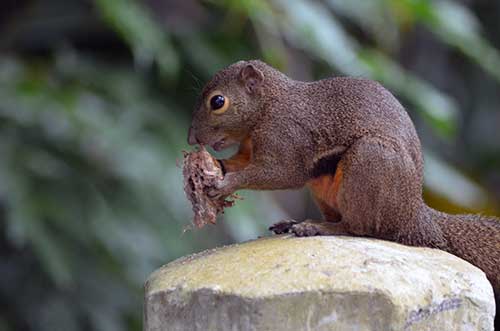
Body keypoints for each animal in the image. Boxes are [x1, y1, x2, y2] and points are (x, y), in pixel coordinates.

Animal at [188, 59, 500, 326]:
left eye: (218, 102)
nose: (192, 138)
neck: (268, 106)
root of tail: (414, 216)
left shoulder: (286, 138)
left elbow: (281, 173)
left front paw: (224, 184)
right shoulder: (248, 149)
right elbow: (239, 163)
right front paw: (214, 167)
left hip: (369, 162)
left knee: (359, 228)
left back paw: (317, 228)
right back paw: (295, 223)